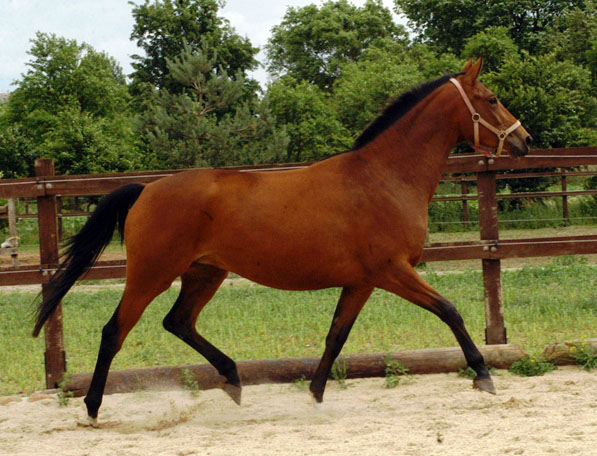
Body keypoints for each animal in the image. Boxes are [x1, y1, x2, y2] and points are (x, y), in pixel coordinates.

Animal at [31, 58, 532, 428]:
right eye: (492, 99)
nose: (525, 141)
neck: (383, 178)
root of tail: (146, 190)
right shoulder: (392, 271)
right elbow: (449, 310)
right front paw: (483, 375)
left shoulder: (362, 281)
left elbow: (336, 336)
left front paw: (314, 395)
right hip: (152, 273)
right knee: (115, 331)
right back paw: (92, 409)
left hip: (205, 272)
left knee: (178, 322)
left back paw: (233, 380)